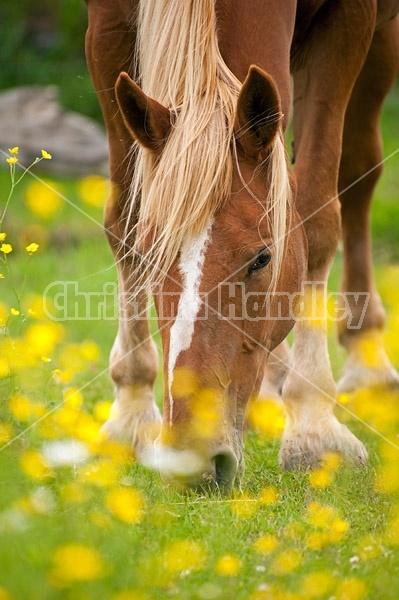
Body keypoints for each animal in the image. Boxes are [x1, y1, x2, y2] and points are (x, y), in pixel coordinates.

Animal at [85, 0, 399, 492]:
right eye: (153, 259)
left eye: (262, 258)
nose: (192, 458)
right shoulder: (106, 25)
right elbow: (123, 221)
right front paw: (130, 415)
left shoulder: (349, 22)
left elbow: (317, 214)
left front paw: (313, 428)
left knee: (357, 170)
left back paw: (366, 360)